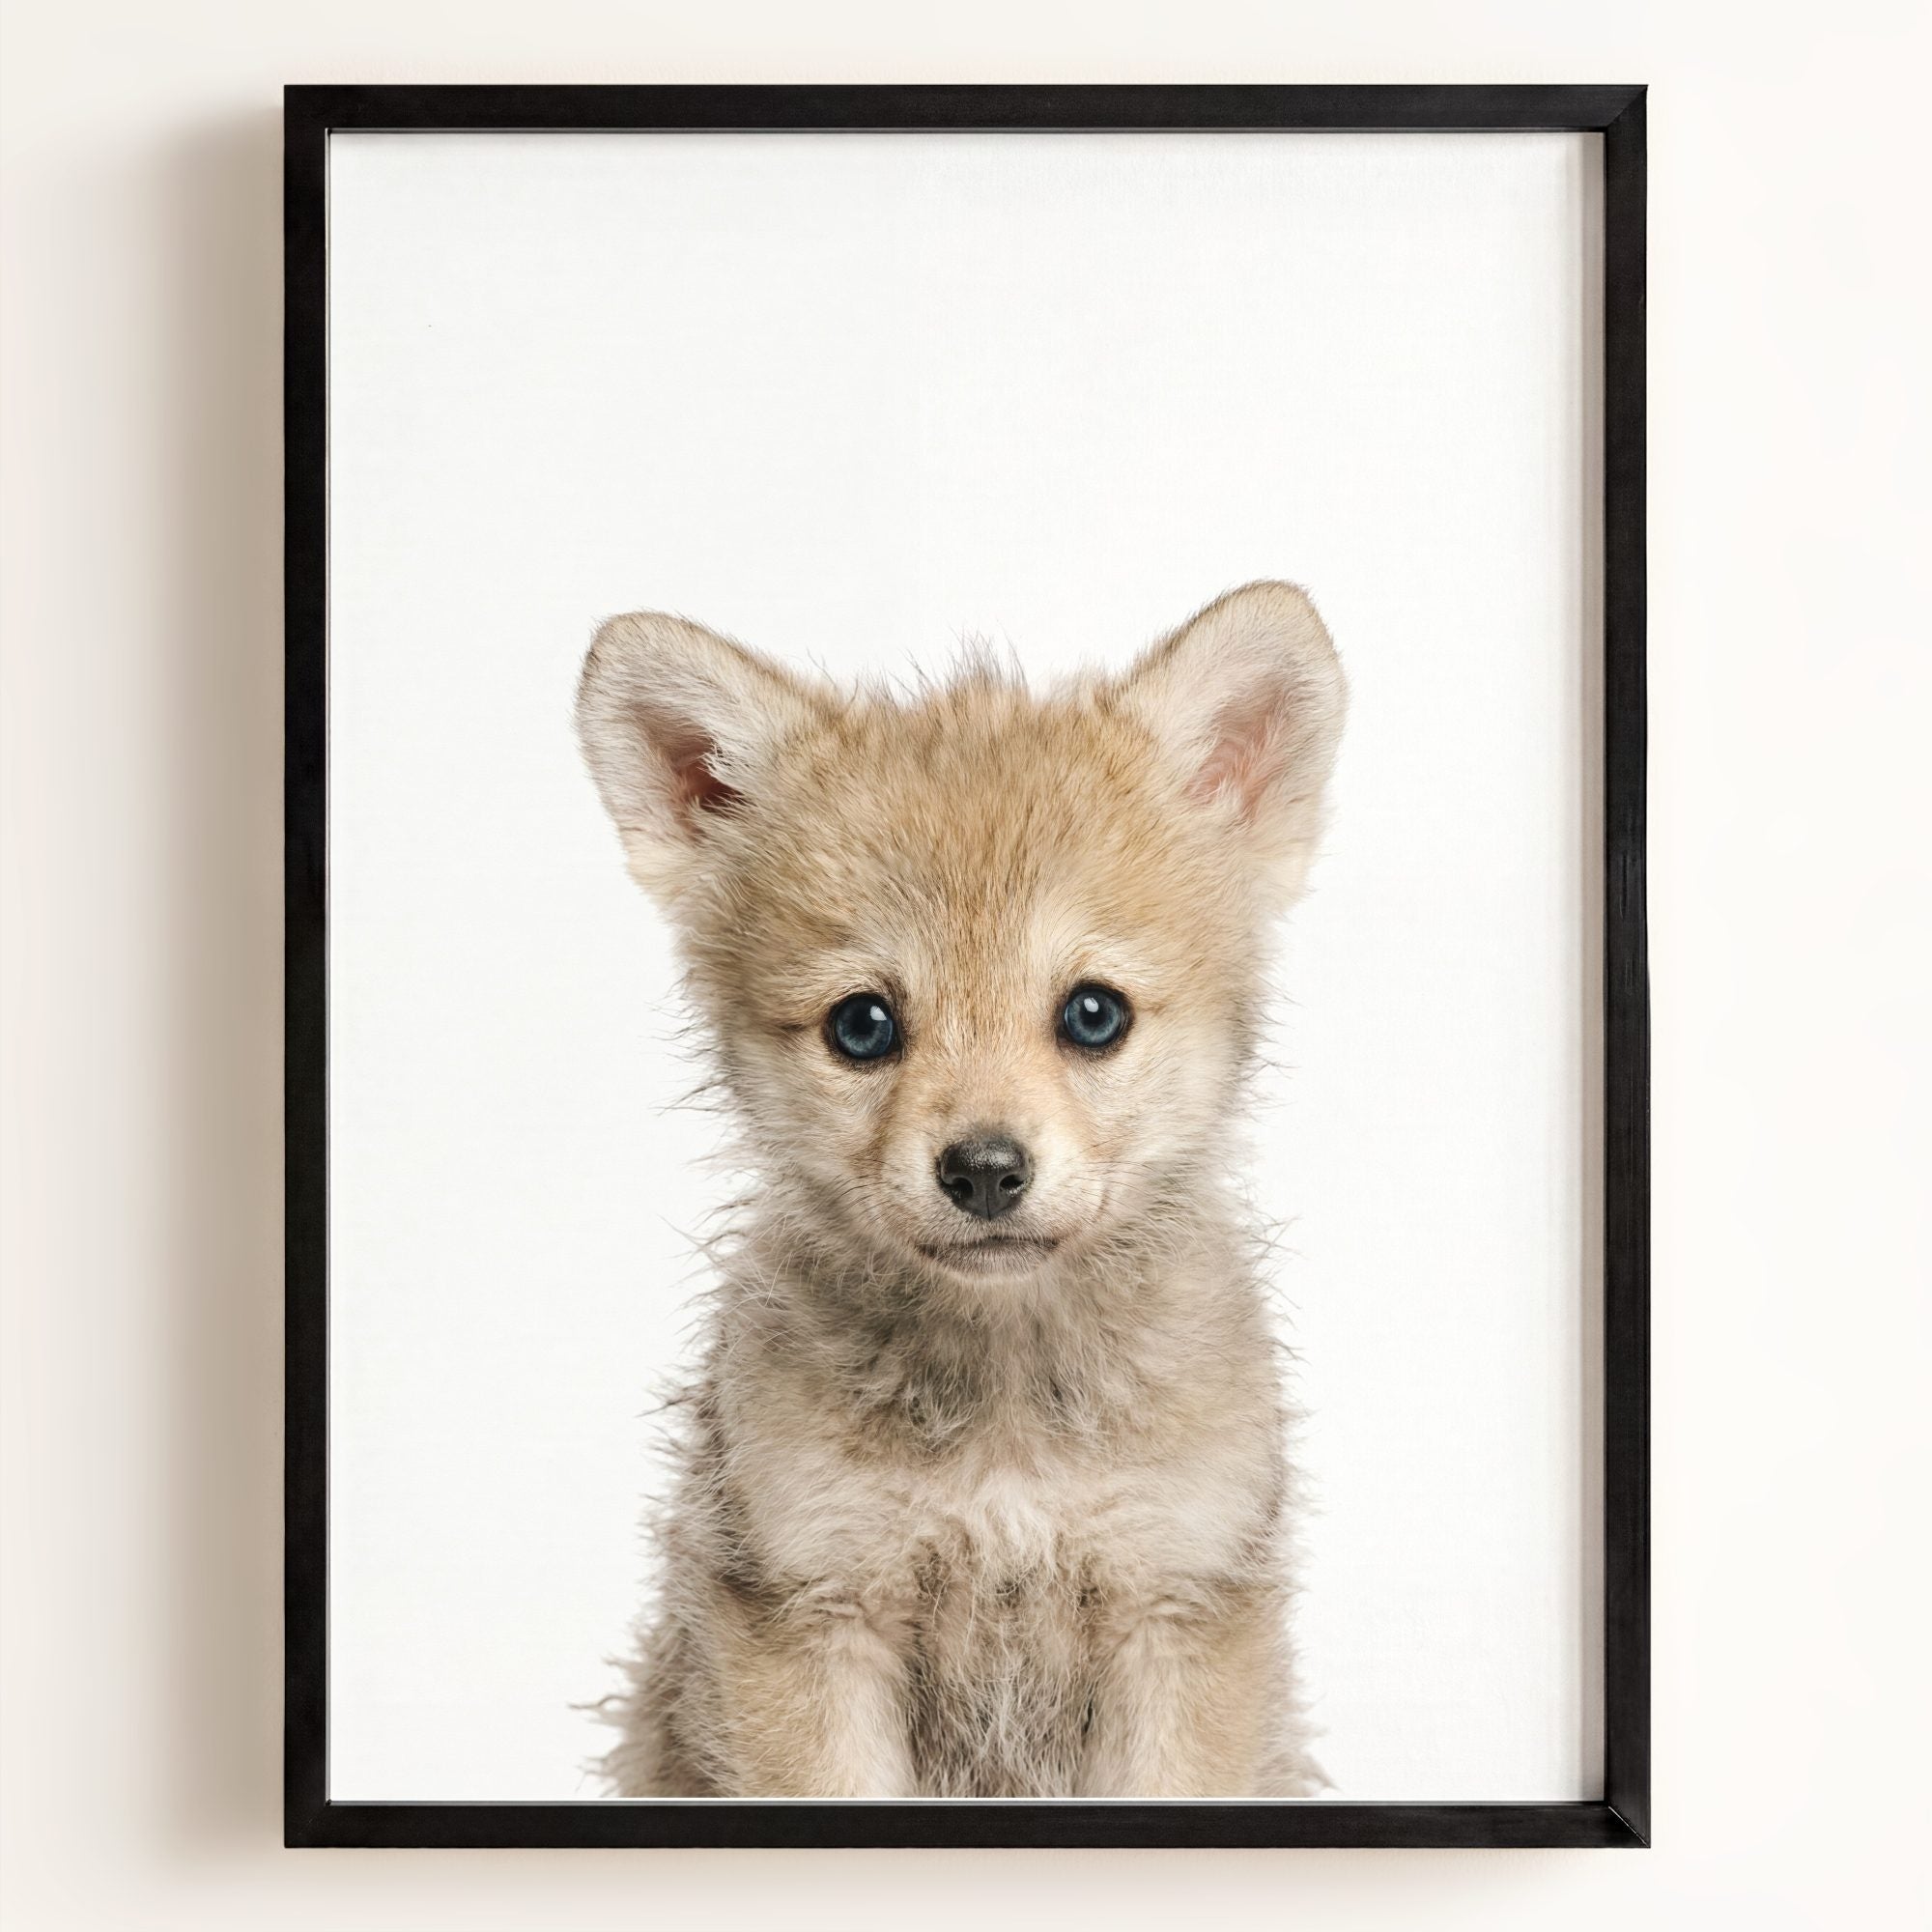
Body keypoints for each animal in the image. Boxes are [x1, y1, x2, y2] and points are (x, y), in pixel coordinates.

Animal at [576, 582, 1346, 1797]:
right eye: (861, 1024)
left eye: (1092, 1012)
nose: (984, 1168)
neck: (1007, 1418)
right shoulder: (810, 1609)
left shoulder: (1175, 1605)